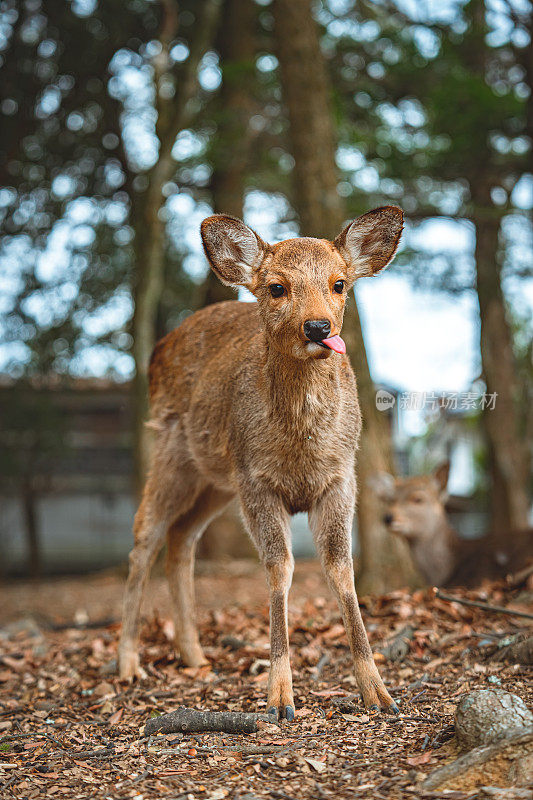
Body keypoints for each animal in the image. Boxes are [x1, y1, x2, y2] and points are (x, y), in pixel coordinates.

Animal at [118, 206, 404, 720]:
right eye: (276, 287)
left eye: (339, 284)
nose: (318, 328)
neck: (300, 447)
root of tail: (157, 350)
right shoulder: (257, 480)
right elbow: (279, 569)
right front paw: (280, 697)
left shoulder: (340, 476)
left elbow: (341, 567)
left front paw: (378, 691)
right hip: (174, 451)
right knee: (144, 537)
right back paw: (129, 664)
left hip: (217, 480)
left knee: (181, 537)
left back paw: (195, 656)